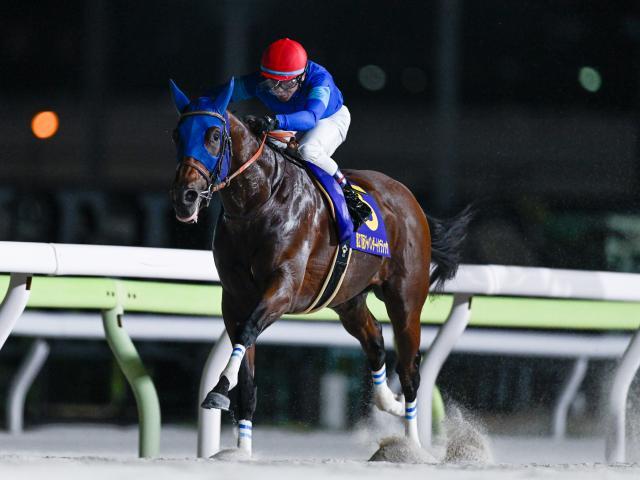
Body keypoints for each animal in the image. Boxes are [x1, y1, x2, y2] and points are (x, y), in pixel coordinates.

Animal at [169, 78, 471, 456]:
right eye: (177, 135)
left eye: (212, 134)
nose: (185, 197)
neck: (258, 201)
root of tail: (410, 199)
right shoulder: (235, 298)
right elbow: (246, 373)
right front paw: (241, 450)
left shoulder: (283, 288)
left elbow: (250, 329)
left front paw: (219, 389)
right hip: (347, 298)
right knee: (374, 338)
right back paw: (388, 402)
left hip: (406, 298)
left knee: (410, 368)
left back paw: (411, 446)